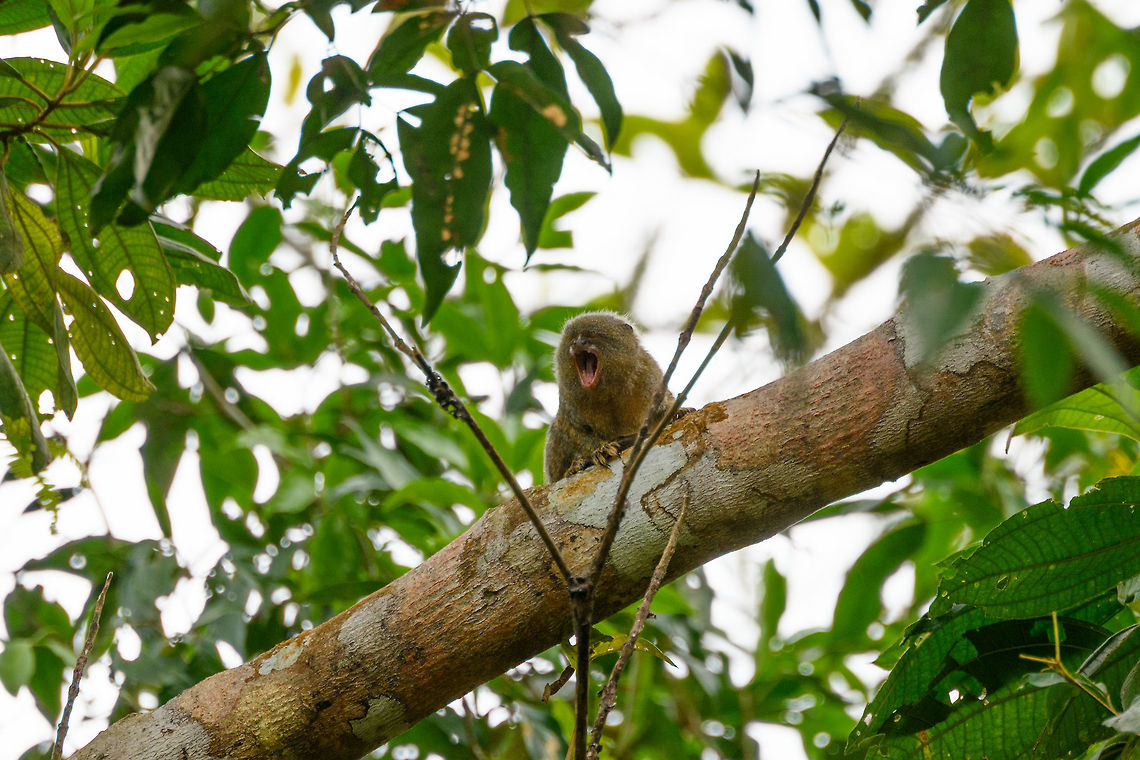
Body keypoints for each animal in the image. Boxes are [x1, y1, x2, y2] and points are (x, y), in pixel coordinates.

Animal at [544, 312, 674, 483]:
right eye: (573, 340)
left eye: (590, 337)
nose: (578, 343)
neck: (608, 391)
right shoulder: (568, 397)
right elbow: (573, 431)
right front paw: (600, 449)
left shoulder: (651, 376)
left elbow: (662, 409)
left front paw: (677, 412)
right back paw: (574, 468)